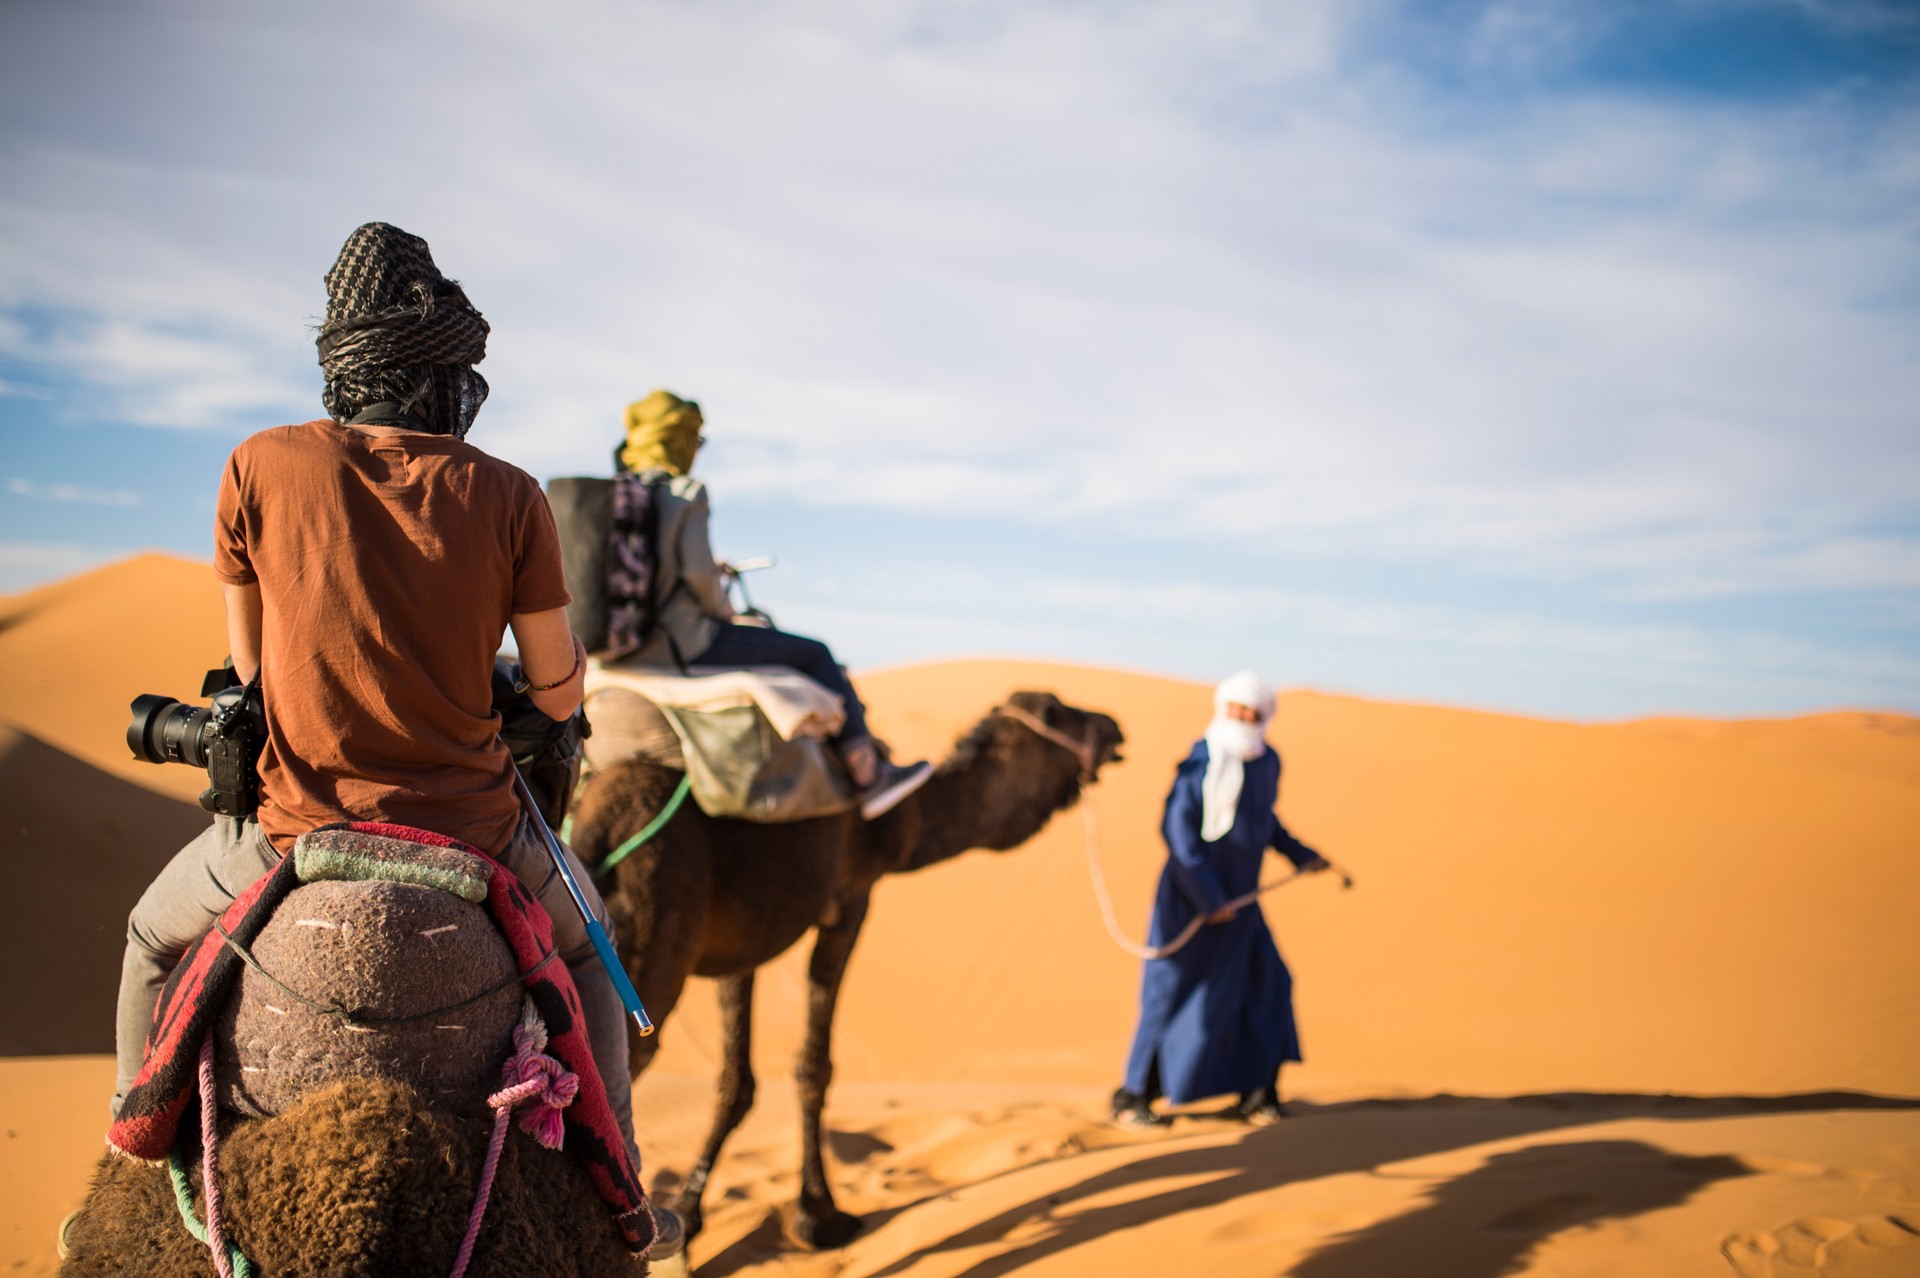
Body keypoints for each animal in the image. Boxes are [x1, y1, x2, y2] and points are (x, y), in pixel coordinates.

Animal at [560, 686, 1121, 1243]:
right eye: (1058, 712)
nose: (1114, 727)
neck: (906, 824)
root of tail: (592, 832)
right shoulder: (851, 900)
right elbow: (814, 1064)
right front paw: (820, 1214)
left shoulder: (744, 936)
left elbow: (735, 1077)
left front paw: (691, 1209)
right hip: (647, 953)